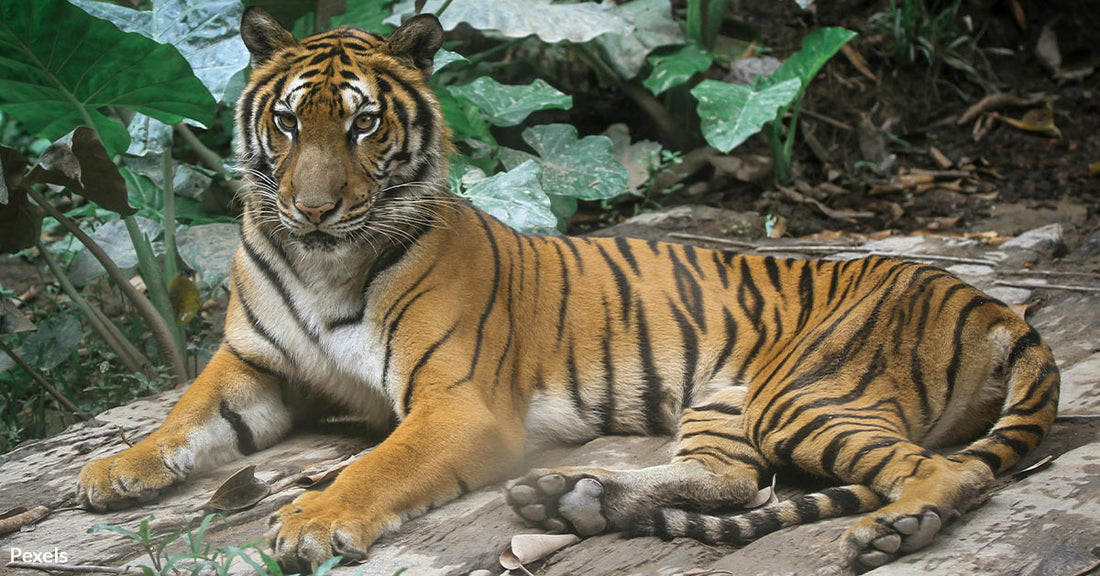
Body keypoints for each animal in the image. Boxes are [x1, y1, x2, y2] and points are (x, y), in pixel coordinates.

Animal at [76, 7, 1060, 572]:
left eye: (361, 126)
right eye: (285, 123)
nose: (312, 209)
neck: (325, 261)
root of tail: (992, 303)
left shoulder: (457, 401)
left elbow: (376, 463)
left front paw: (315, 521)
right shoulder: (253, 363)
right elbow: (183, 417)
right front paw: (114, 470)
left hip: (807, 394)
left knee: (946, 472)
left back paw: (892, 533)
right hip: (728, 402)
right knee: (734, 480)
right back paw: (576, 498)